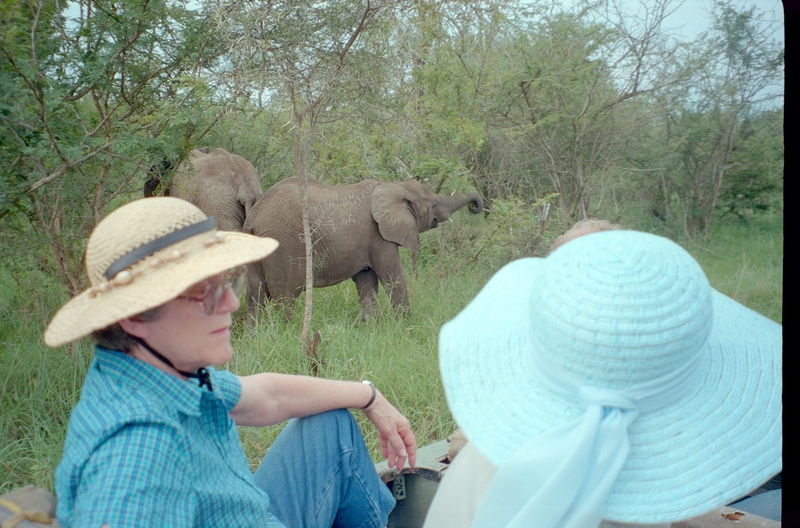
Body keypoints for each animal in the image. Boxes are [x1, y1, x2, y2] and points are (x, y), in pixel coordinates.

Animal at [244, 177, 484, 320]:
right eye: (433, 204)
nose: (475, 206)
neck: (394, 186)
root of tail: (254, 217)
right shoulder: (379, 236)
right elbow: (393, 276)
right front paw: (406, 326)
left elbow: (366, 282)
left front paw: (371, 327)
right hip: (283, 246)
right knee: (285, 297)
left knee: (254, 296)